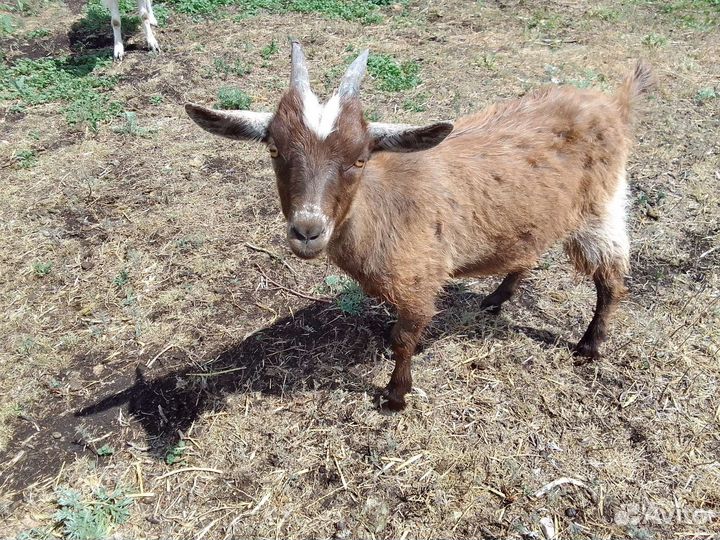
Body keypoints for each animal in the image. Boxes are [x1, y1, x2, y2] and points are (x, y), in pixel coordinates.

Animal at [185, 42, 653, 410]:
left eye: (359, 159)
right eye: (274, 150)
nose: (307, 230)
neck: (383, 205)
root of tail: (613, 105)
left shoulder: (420, 282)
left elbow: (404, 340)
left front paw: (396, 395)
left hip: (600, 209)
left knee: (612, 279)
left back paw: (589, 345)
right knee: (530, 250)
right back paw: (497, 297)